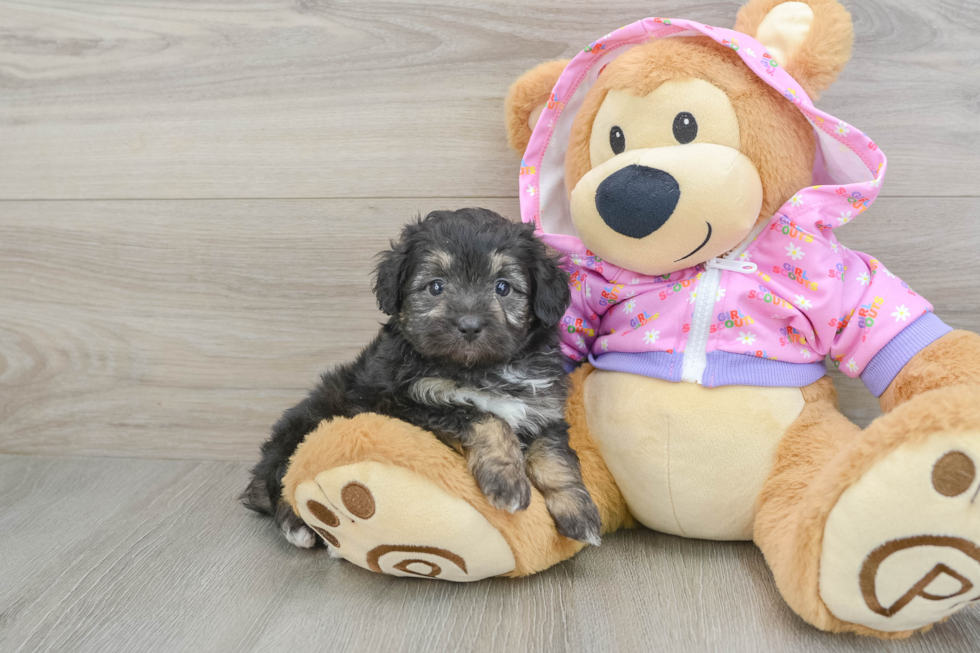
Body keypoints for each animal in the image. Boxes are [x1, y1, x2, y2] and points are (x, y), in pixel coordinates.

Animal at [241, 208, 600, 544]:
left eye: (503, 287)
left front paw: (580, 514)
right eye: (435, 286)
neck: (479, 368)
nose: (470, 325)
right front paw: (507, 482)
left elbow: (556, 459)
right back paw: (298, 524)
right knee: (286, 478)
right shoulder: (406, 403)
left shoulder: (543, 410)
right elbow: (486, 418)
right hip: (310, 420)